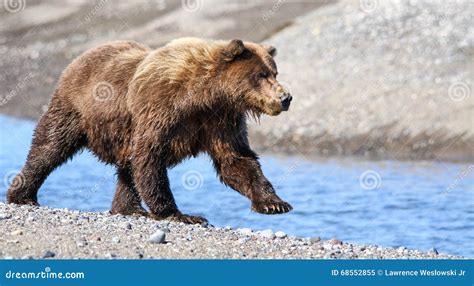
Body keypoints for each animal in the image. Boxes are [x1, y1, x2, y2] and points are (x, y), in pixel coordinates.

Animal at [7, 37, 294, 223]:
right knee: (49, 147)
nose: (286, 97)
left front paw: (274, 203)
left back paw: (128, 208)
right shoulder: (161, 107)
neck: (206, 96)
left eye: (274, 72)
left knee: (127, 167)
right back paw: (22, 194)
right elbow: (150, 156)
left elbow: (236, 160)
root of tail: (80, 57)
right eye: (261, 75)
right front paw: (180, 214)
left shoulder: (221, 122)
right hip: (76, 110)